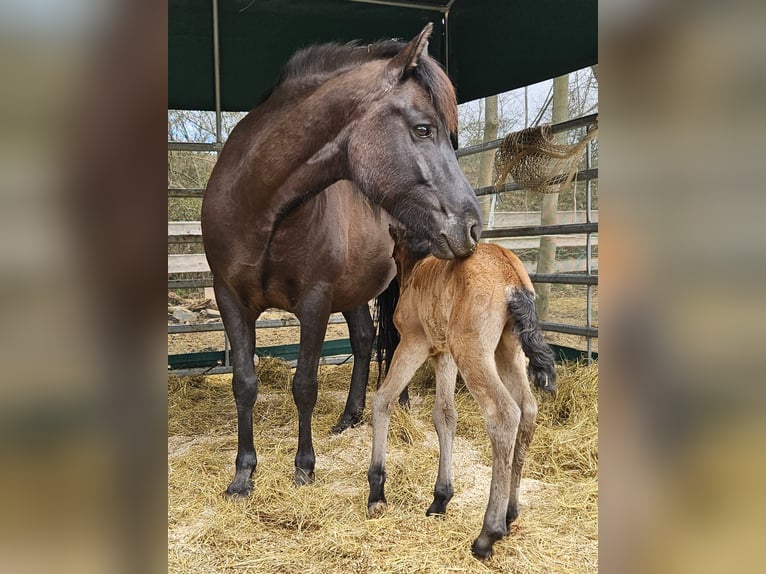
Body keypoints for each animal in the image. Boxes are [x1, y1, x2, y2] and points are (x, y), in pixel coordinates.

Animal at [201, 24, 484, 498]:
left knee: (397, 338)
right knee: (366, 340)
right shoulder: (230, 300)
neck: (258, 206)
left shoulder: (315, 302)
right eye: (423, 129)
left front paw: (304, 467)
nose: (472, 228)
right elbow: (244, 383)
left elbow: (305, 384)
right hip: (354, 288)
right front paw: (243, 475)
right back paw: (350, 416)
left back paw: (398, 402)